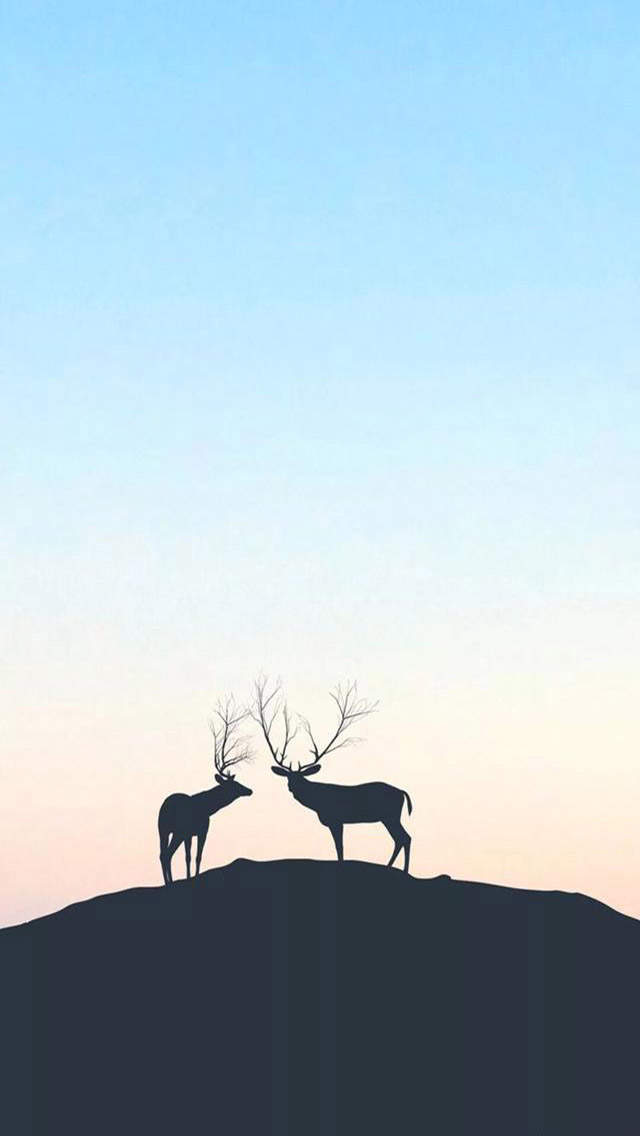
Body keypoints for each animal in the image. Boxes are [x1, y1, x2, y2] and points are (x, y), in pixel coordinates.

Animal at [158, 697, 253, 884]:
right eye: (235, 785)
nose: (249, 790)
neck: (207, 808)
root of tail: (163, 807)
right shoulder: (192, 831)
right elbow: (190, 857)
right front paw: (190, 878)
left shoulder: (198, 832)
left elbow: (196, 857)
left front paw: (191, 876)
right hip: (170, 830)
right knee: (166, 854)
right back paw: (169, 882)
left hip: (165, 830)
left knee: (163, 854)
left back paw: (168, 882)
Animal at [251, 677, 413, 872]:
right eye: (288, 777)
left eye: (300, 778)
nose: (291, 787)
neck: (318, 802)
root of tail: (402, 792)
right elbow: (338, 847)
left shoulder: (336, 819)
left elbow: (339, 847)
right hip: (389, 816)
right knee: (401, 838)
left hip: (390, 815)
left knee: (405, 838)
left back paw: (402, 870)